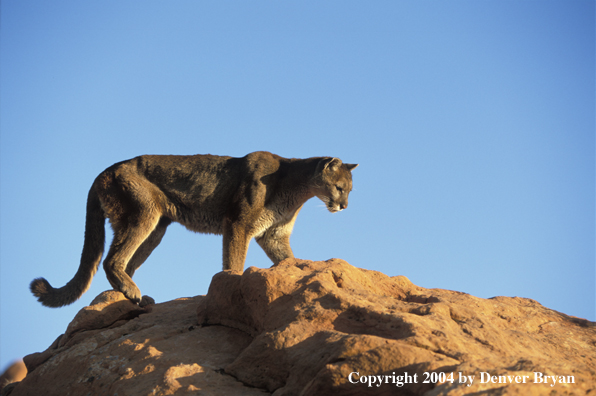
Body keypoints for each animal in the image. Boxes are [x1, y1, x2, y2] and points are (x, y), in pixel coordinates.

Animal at [30, 150, 358, 308]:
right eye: (339, 188)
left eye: (350, 190)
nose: (344, 206)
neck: (295, 186)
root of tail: (103, 171)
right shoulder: (238, 224)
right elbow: (233, 261)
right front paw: (230, 285)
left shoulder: (273, 236)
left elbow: (287, 259)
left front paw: (300, 270)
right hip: (144, 213)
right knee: (112, 260)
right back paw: (133, 292)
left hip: (156, 230)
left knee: (124, 262)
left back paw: (135, 298)